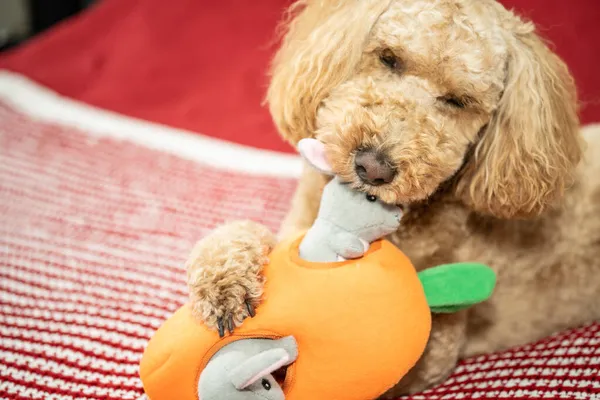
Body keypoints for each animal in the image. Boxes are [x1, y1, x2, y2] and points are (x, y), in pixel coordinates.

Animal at [188, 0, 600, 394]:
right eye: (388, 58)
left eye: (457, 101)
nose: (372, 167)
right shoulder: (297, 227)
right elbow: (241, 232)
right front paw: (224, 283)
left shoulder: (433, 348)